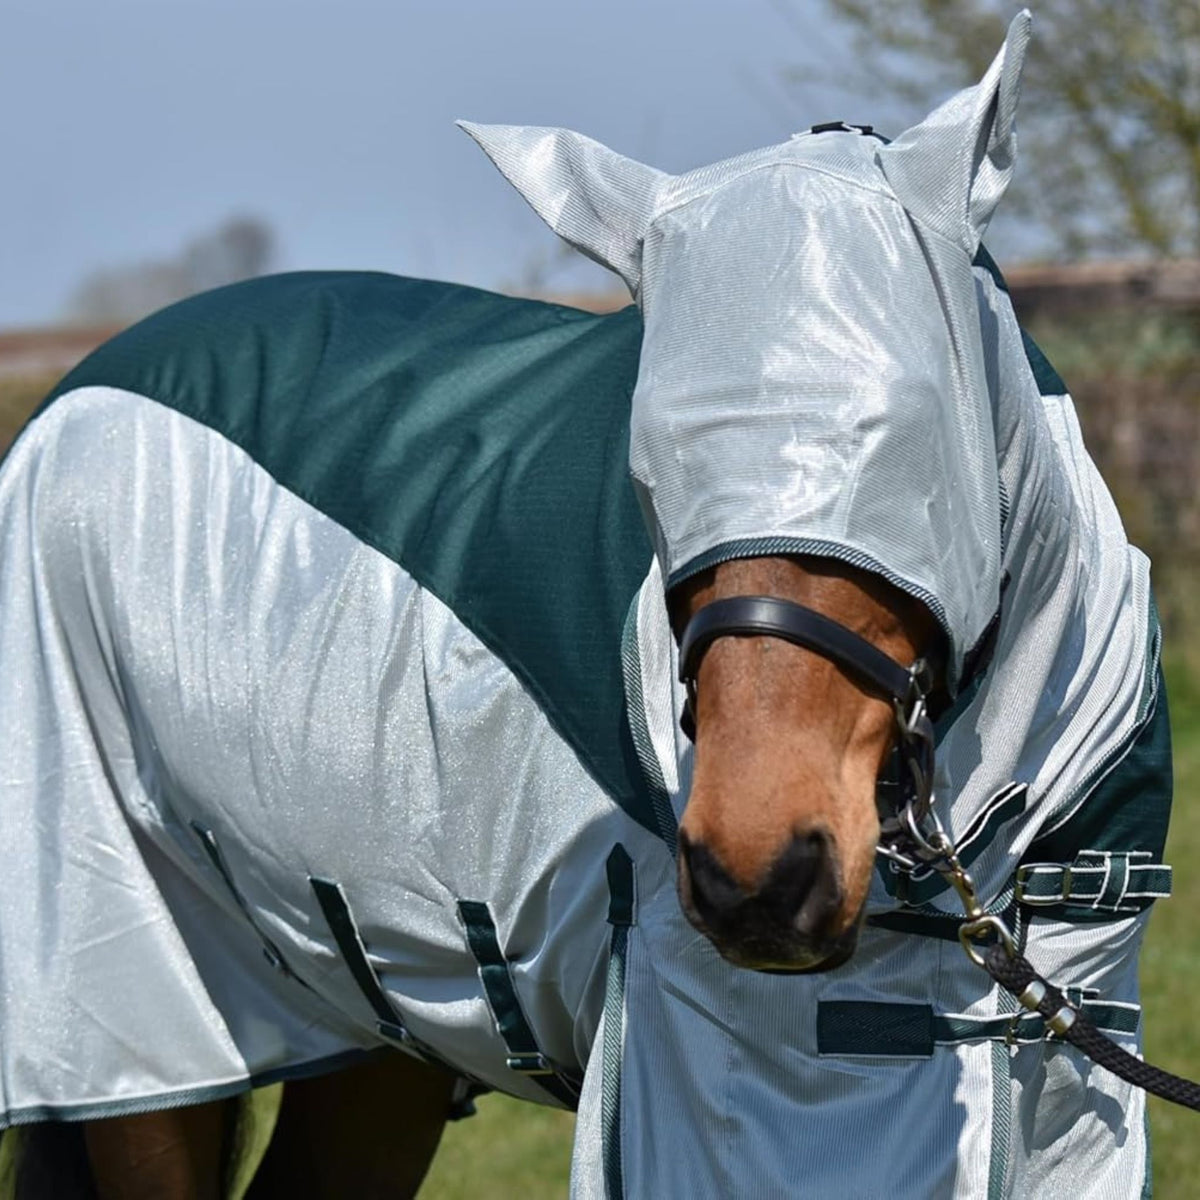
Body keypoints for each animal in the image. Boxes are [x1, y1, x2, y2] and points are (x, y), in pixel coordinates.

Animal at [0, 12, 1174, 1196]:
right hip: (145, 1010)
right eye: (648, 467)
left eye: (906, 438)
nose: (757, 878)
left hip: (380, 1035)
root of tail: (75, 394)